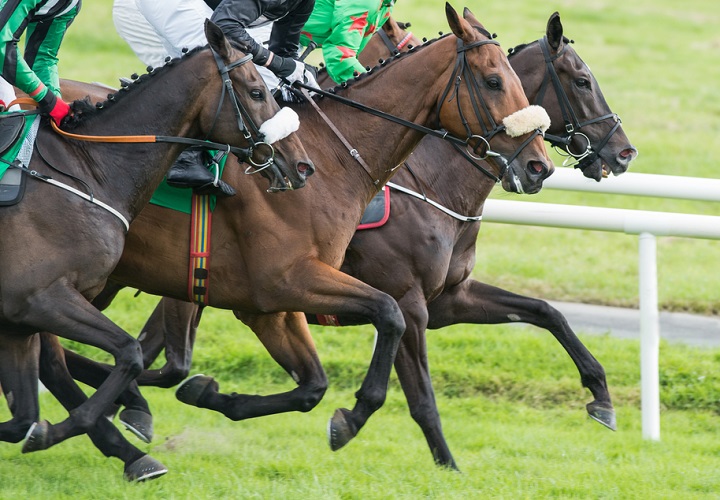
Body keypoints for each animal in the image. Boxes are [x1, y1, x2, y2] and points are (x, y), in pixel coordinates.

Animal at [0, 22, 316, 476]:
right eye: (257, 91)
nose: (301, 164)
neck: (86, 169)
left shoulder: (19, 321)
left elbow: (22, 417)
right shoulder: (39, 299)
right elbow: (128, 353)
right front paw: (74, 428)